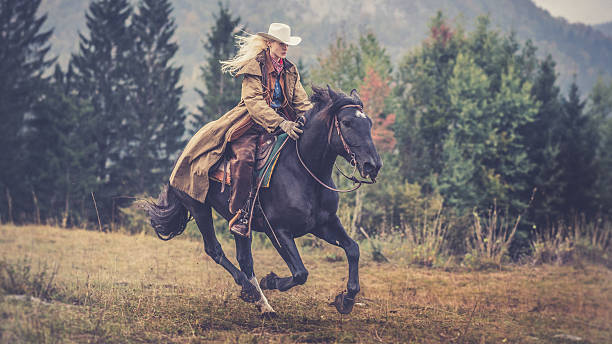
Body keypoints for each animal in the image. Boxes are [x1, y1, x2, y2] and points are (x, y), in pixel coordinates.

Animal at [145, 86, 380, 318]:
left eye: (369, 123)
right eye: (347, 122)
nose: (373, 165)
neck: (303, 171)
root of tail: (182, 154)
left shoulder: (325, 223)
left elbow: (353, 249)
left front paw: (346, 300)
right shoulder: (277, 230)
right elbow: (300, 273)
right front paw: (271, 280)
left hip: (238, 223)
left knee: (244, 258)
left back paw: (262, 303)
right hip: (199, 207)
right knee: (215, 250)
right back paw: (250, 290)